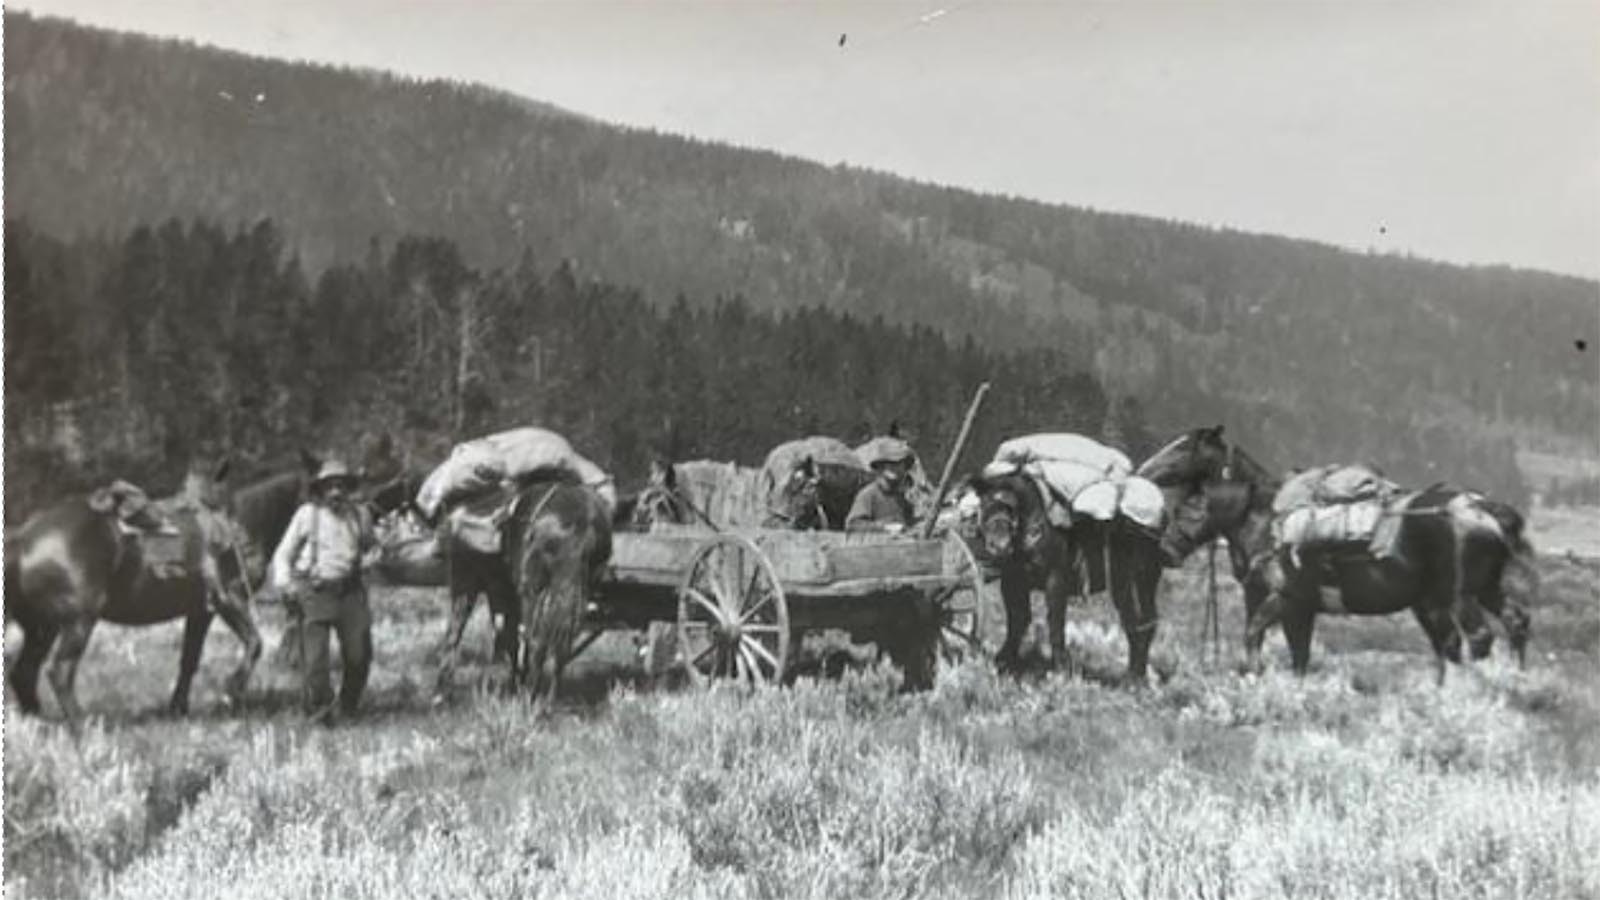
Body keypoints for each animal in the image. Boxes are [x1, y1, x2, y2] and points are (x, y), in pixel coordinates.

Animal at [960, 464, 1164, 675]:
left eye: (1012, 508)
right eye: (984, 505)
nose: (1000, 546)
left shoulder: (1056, 580)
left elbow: (1055, 623)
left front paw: (1060, 670)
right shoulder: (1012, 581)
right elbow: (1017, 620)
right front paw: (1003, 662)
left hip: (1137, 583)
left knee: (1141, 624)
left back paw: (1135, 677)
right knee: (1138, 624)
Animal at [1139, 422, 1536, 675]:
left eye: (1182, 446)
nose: (1166, 551)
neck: (1267, 520)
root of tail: (1482, 508)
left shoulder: (1285, 599)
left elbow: (1255, 636)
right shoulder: (1289, 605)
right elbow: (1295, 653)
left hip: (1460, 595)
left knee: (1478, 638)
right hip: (1480, 591)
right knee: (1509, 624)